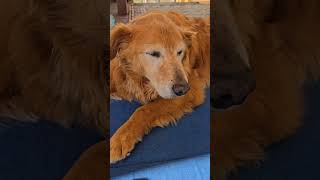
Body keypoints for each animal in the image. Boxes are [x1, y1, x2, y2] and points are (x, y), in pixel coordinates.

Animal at [109, 11, 210, 163]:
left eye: (180, 52)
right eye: (153, 53)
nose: (182, 89)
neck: (140, 79)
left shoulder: (192, 89)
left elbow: (144, 110)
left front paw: (121, 138)